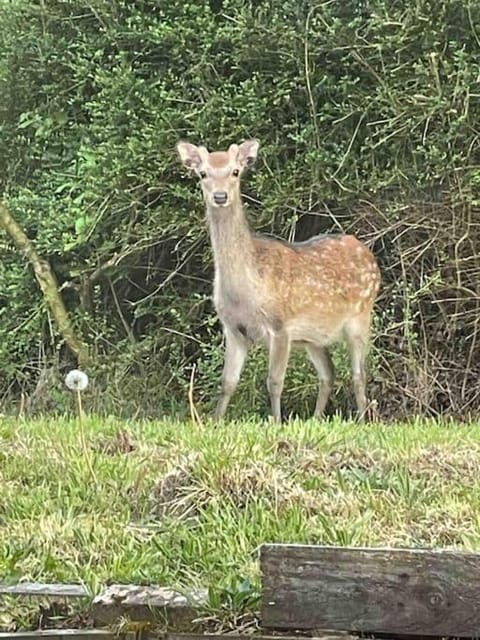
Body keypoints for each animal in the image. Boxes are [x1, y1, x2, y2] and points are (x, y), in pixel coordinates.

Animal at [174, 138, 380, 422]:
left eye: (235, 171)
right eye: (203, 173)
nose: (220, 196)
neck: (245, 291)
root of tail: (369, 254)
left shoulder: (280, 325)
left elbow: (274, 381)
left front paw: (277, 422)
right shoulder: (233, 328)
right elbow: (227, 382)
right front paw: (215, 422)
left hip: (361, 316)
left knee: (359, 375)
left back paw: (361, 420)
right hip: (312, 337)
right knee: (328, 373)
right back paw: (316, 419)